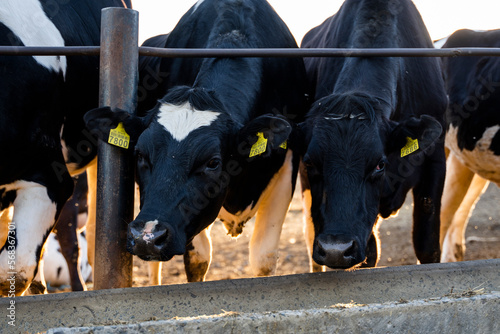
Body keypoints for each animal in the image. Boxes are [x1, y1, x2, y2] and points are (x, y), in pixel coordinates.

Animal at [86, 0, 310, 282]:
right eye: (140, 155)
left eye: (213, 162)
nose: (147, 236)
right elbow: (198, 259)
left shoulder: (288, 163)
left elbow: (263, 256)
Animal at [298, 0, 448, 272]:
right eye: (310, 162)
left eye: (379, 164)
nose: (335, 250)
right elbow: (369, 256)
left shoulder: (435, 158)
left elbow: (427, 246)